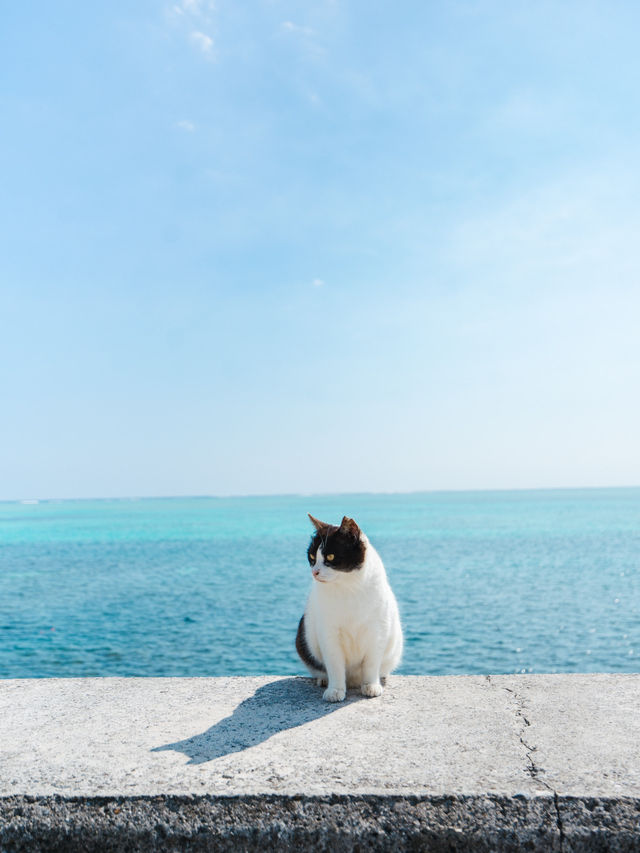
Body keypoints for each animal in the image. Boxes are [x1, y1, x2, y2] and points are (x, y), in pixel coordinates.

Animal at [294, 512, 400, 700]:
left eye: (330, 557)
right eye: (312, 557)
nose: (314, 572)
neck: (348, 587)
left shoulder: (377, 631)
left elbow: (371, 663)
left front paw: (371, 686)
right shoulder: (328, 633)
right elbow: (335, 664)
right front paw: (335, 690)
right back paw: (324, 680)